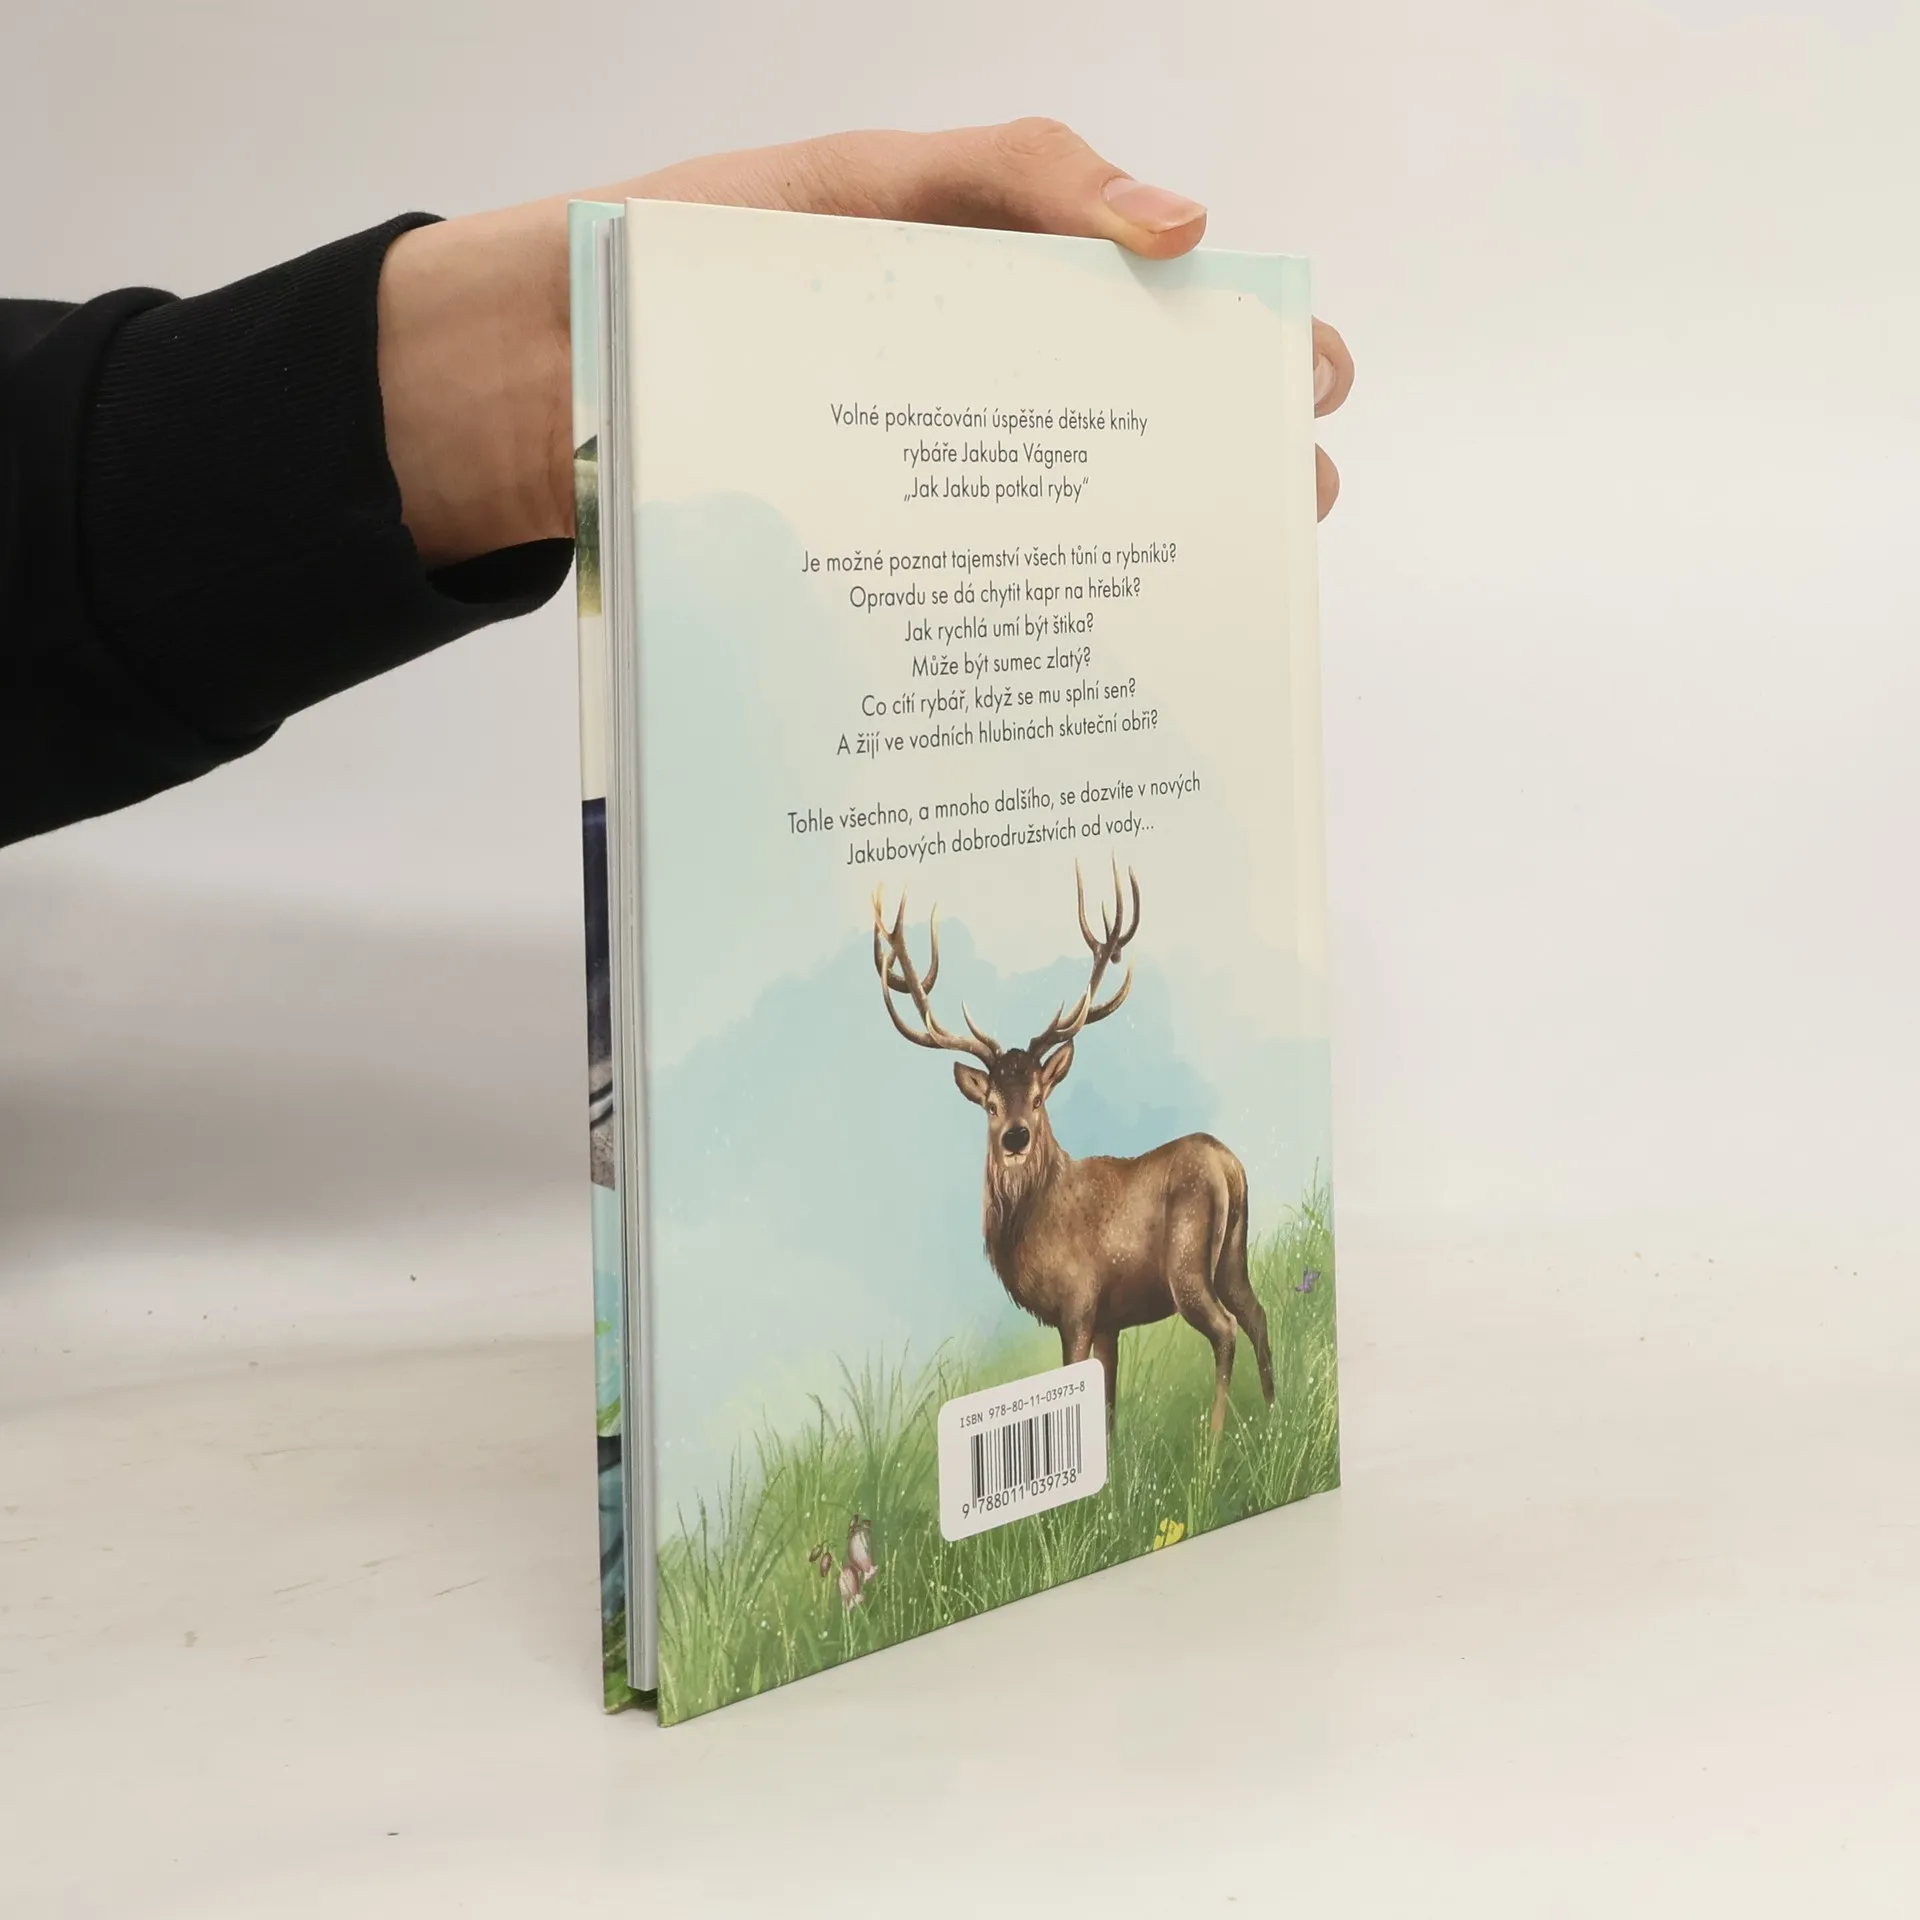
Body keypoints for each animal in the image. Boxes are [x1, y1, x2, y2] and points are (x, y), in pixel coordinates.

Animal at [872, 864, 1275, 1437]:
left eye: (1039, 1097)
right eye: (991, 1104)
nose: (1016, 1137)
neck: (1032, 1226)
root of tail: (1228, 1166)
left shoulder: (1079, 1301)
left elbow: (1077, 1387)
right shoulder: (1109, 1320)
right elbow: (1105, 1406)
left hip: (1186, 1264)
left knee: (1225, 1329)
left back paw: (1214, 1443)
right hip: (1234, 1255)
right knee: (1257, 1314)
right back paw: (1272, 1413)